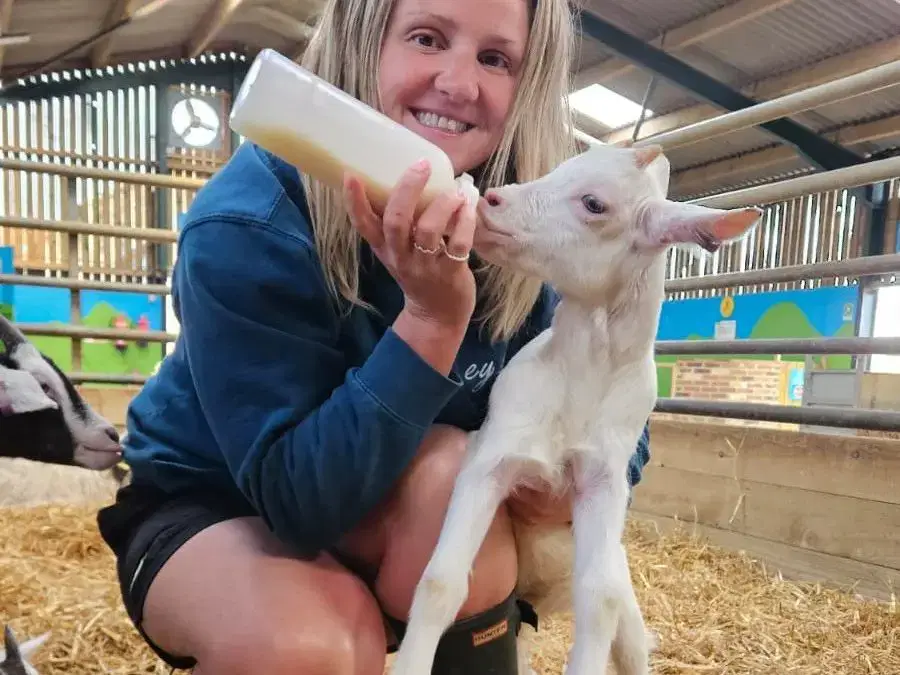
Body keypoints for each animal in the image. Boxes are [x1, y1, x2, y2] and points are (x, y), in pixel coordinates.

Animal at [389, 144, 762, 675]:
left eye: (594, 204)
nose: (492, 201)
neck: (581, 379)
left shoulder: (604, 481)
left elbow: (598, 602)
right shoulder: (491, 457)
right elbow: (441, 581)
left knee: (630, 643)